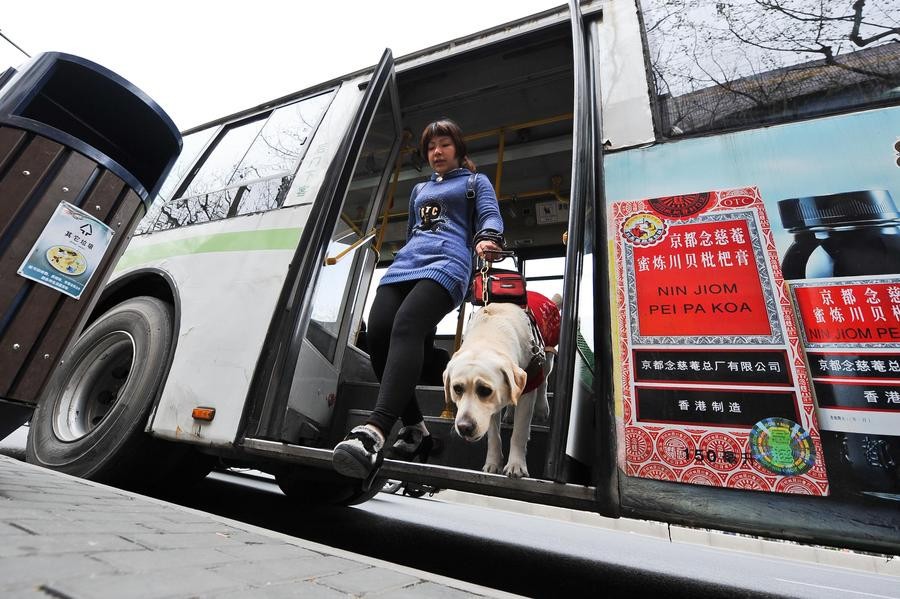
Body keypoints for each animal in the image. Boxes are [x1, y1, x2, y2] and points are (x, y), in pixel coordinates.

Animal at [444, 292, 564, 480]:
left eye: (485, 390)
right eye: (457, 389)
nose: (464, 427)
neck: (488, 334)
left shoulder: (527, 390)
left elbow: (519, 432)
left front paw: (516, 465)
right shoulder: (493, 405)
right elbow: (494, 436)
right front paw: (493, 463)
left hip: (547, 355)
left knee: (543, 381)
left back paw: (541, 409)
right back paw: (509, 414)